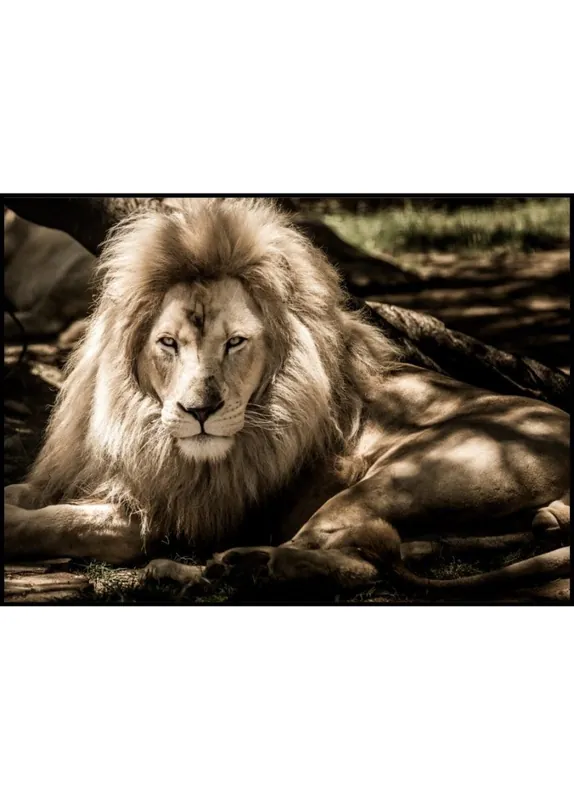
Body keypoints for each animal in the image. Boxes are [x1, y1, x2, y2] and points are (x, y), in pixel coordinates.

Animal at [4, 198, 570, 599]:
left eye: (235, 342)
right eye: (168, 344)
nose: (200, 412)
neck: (137, 421)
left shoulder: (160, 515)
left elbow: (54, 523)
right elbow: (24, 495)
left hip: (408, 474)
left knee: (352, 560)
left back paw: (235, 566)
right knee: (395, 550)